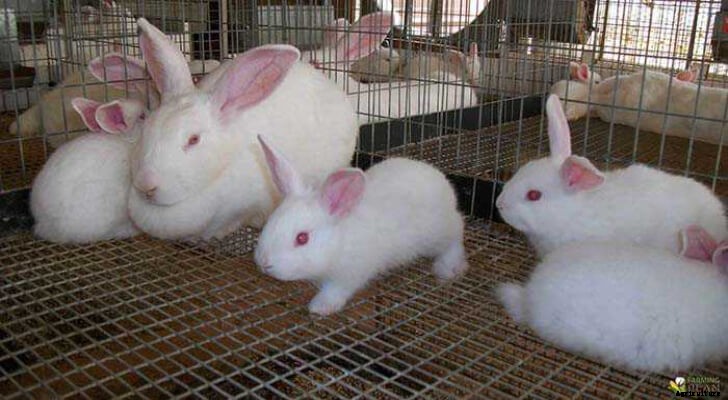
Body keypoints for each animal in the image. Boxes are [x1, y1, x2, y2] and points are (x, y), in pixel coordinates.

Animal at [254, 135, 468, 315]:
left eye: (302, 238)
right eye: (269, 223)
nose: (265, 263)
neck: (339, 242)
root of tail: (440, 179)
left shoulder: (350, 273)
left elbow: (335, 290)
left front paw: (320, 307)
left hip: (438, 233)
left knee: (455, 238)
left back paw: (448, 268)